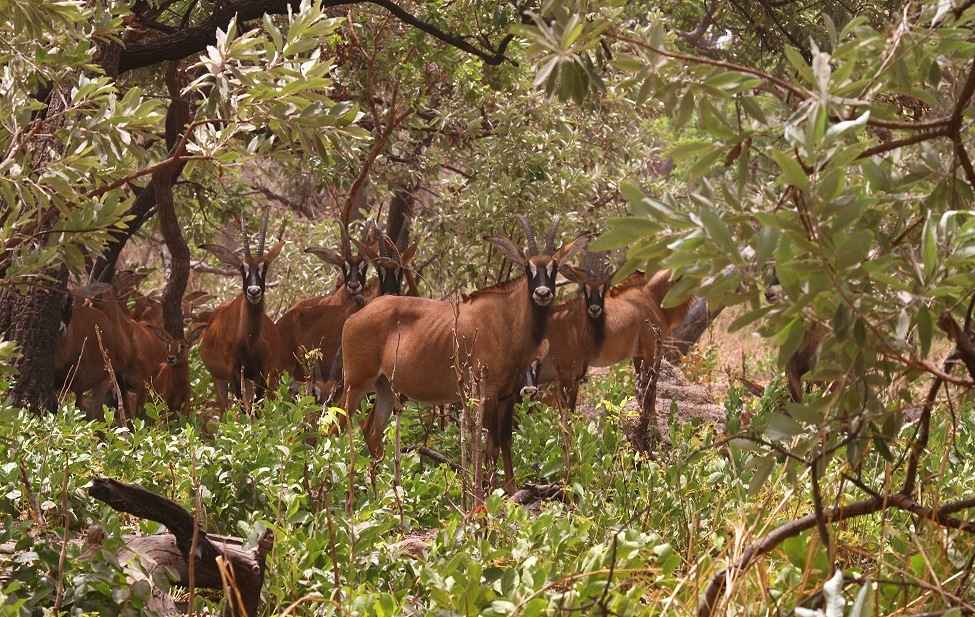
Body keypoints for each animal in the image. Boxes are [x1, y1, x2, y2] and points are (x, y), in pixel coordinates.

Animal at [200, 212, 284, 414]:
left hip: (248, 380)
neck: (250, 341)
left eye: (265, 267)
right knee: (224, 411)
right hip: (220, 379)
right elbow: (243, 409)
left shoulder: (261, 373)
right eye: (241, 268)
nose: (253, 291)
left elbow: (257, 409)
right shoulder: (234, 373)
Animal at [340, 214, 592, 494]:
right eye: (528, 268)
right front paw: (492, 491)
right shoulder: (488, 393)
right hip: (356, 382)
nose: (543, 293)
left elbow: (506, 441)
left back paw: (381, 492)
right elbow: (491, 444)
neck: (509, 319)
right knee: (335, 424)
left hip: (385, 386)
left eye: (554, 267)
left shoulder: (507, 395)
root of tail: (353, 318)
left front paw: (512, 489)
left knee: (371, 431)